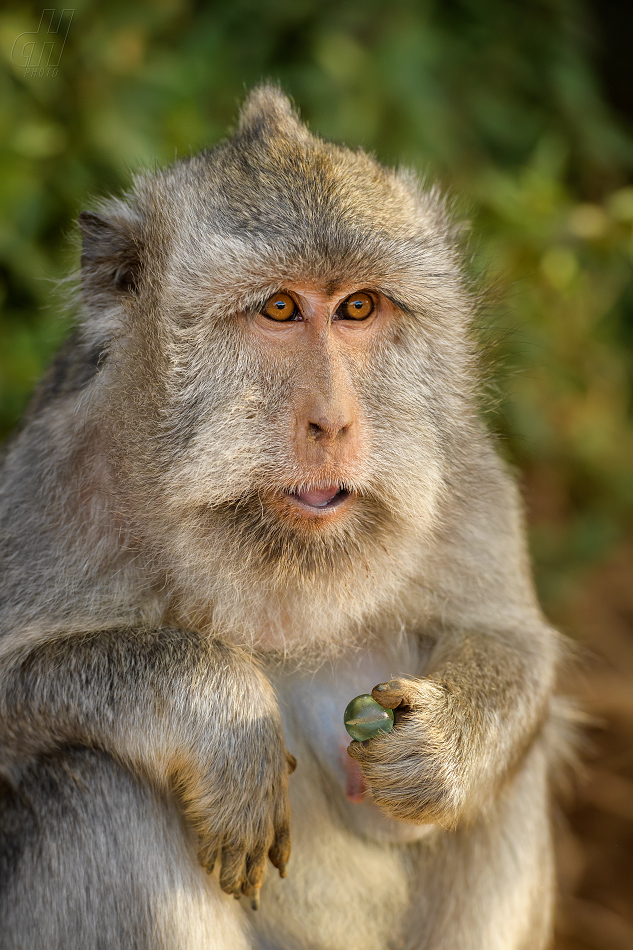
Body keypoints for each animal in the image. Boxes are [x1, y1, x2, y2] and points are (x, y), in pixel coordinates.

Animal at [0, 85, 568, 948]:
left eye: (358, 306)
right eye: (278, 308)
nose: (333, 422)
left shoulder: (462, 470)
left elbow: (513, 643)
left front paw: (441, 746)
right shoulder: (57, 475)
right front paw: (220, 711)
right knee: (94, 781)